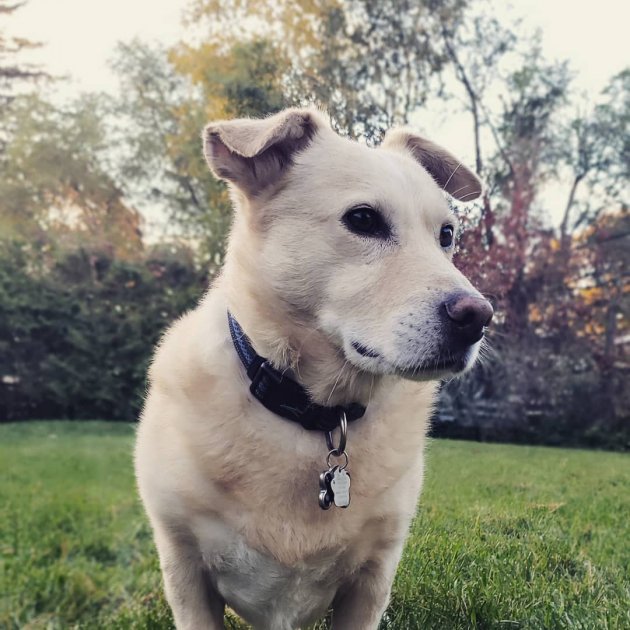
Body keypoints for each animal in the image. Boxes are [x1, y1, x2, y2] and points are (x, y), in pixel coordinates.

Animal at [136, 110, 494, 630]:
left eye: (446, 235)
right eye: (363, 219)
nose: (479, 317)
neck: (314, 413)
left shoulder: (371, 581)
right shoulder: (185, 572)